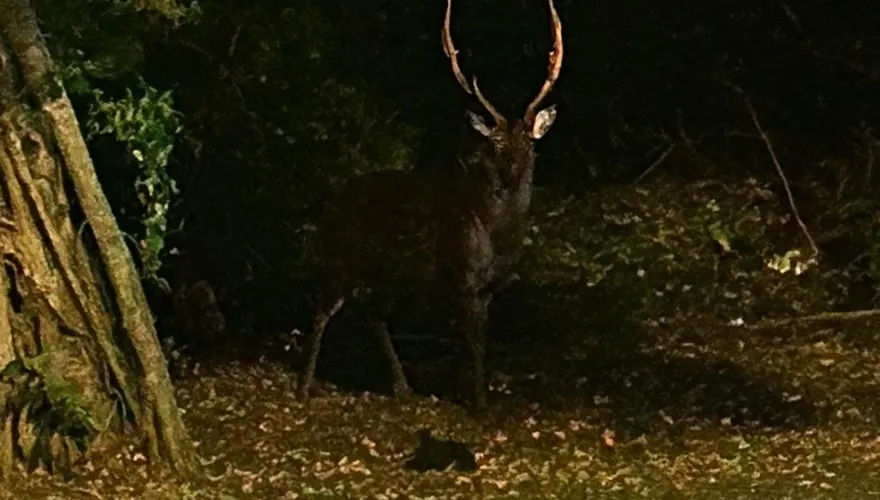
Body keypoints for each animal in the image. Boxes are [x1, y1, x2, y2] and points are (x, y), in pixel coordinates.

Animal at [296, 0, 563, 410]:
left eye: (530, 145)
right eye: (495, 145)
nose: (514, 174)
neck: (496, 235)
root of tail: (331, 202)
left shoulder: (489, 288)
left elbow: (481, 342)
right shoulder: (462, 276)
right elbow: (471, 344)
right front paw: (479, 403)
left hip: (386, 271)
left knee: (370, 311)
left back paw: (401, 387)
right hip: (342, 255)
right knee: (324, 309)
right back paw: (304, 386)